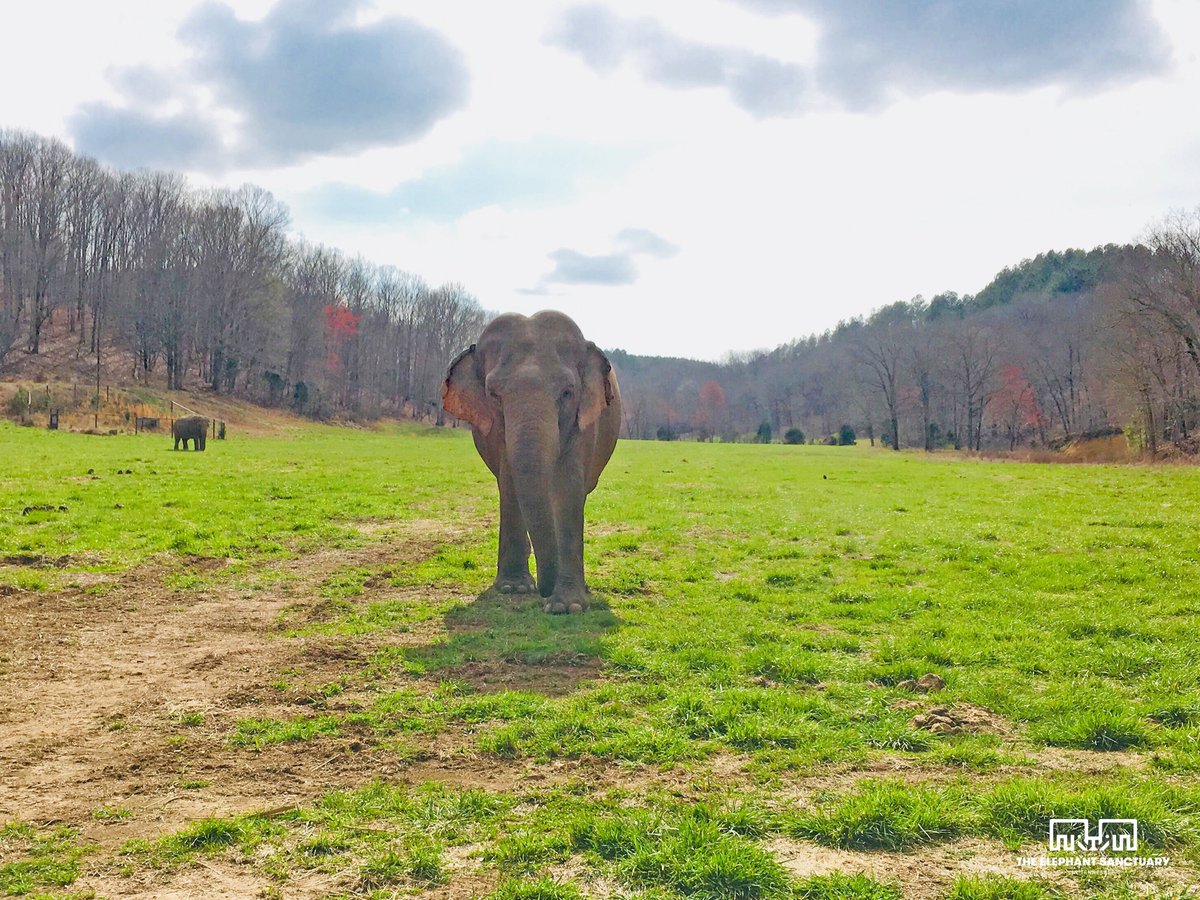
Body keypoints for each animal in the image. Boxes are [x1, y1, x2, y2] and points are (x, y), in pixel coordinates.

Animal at [442, 310, 621, 613]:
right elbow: (510, 483)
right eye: (493, 395)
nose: (543, 591)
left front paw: (567, 607)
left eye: (567, 392)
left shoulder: (584, 424)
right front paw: (513, 588)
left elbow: (567, 488)